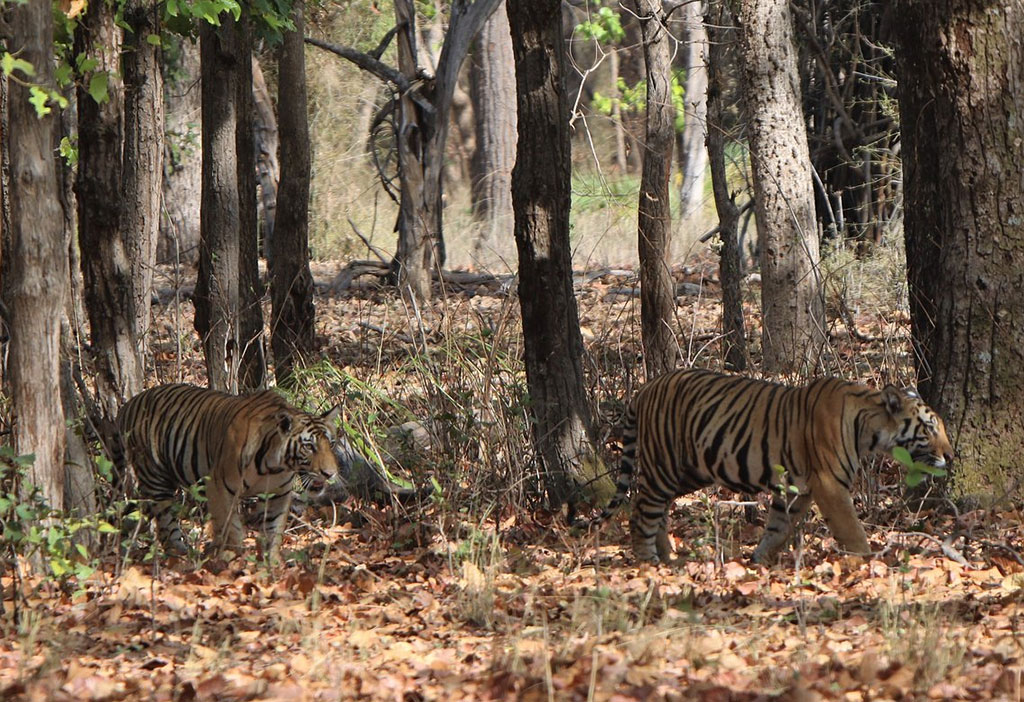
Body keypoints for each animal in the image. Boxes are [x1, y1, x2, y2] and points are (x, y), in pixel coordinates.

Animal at [114, 384, 342, 560]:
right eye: (309, 447)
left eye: (331, 443)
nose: (330, 473)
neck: (275, 465)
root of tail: (129, 403)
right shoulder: (218, 488)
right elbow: (231, 530)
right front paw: (233, 563)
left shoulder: (278, 495)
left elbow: (273, 530)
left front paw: (272, 564)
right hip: (155, 479)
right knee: (165, 524)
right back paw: (180, 555)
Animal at [589, 368, 954, 564]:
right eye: (929, 429)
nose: (951, 456)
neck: (870, 428)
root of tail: (645, 388)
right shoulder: (830, 484)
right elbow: (852, 530)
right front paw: (868, 562)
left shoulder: (798, 488)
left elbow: (779, 528)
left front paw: (760, 561)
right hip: (664, 465)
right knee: (641, 509)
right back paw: (649, 562)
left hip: (689, 470)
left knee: (658, 509)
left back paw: (669, 557)